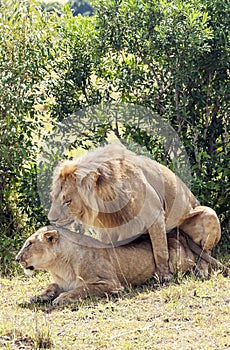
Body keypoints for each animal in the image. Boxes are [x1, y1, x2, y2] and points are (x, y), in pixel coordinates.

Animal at [15, 226, 196, 304]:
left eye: (29, 244)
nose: (16, 259)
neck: (59, 266)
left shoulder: (111, 284)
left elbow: (83, 289)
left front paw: (62, 298)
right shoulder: (61, 282)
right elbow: (50, 286)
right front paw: (37, 296)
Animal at [48, 144, 221, 280]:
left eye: (67, 201)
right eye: (53, 197)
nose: (51, 219)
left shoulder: (155, 215)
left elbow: (160, 251)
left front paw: (164, 276)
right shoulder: (108, 228)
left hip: (209, 213)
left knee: (205, 251)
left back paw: (201, 272)